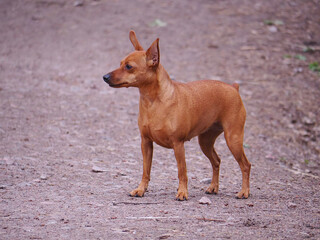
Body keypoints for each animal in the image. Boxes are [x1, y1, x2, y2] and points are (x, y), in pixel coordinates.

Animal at [104, 30, 251, 201]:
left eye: (129, 67)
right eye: (120, 63)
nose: (105, 77)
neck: (153, 102)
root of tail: (234, 88)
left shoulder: (178, 144)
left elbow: (182, 171)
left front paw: (182, 192)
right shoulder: (146, 143)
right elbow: (145, 170)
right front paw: (141, 189)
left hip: (233, 139)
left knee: (245, 165)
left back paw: (244, 192)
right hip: (205, 141)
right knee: (216, 161)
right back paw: (213, 187)